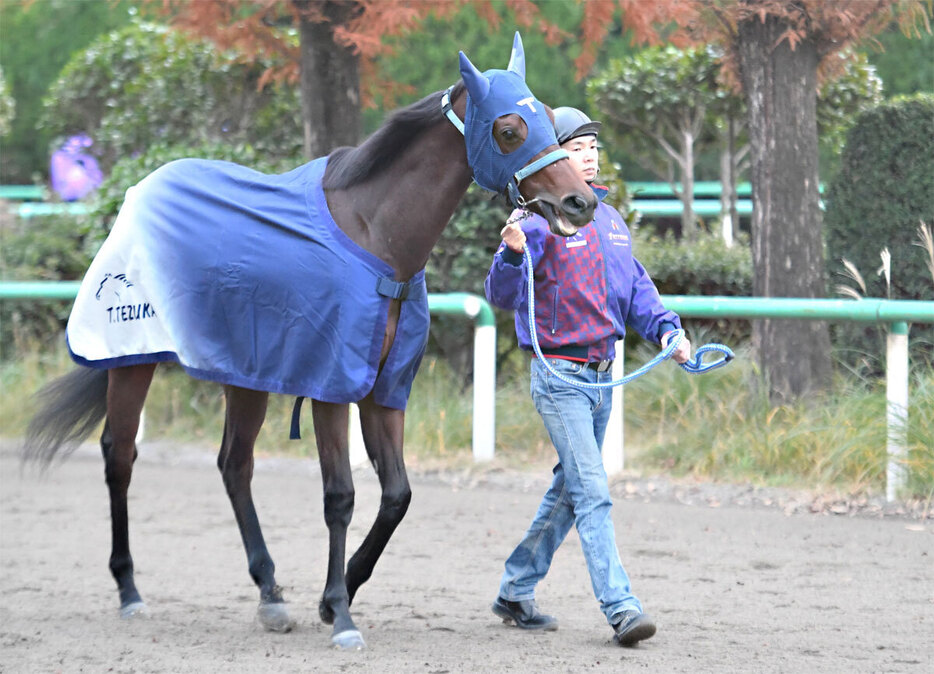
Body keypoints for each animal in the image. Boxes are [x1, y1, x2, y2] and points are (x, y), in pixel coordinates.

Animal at [23, 34, 600, 648]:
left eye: (547, 119)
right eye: (510, 129)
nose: (579, 202)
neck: (375, 235)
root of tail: (138, 191)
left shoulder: (382, 389)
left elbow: (397, 495)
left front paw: (338, 592)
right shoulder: (331, 383)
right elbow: (340, 495)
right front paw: (341, 613)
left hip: (245, 371)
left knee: (234, 465)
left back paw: (269, 593)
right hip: (132, 356)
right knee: (120, 455)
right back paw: (130, 589)